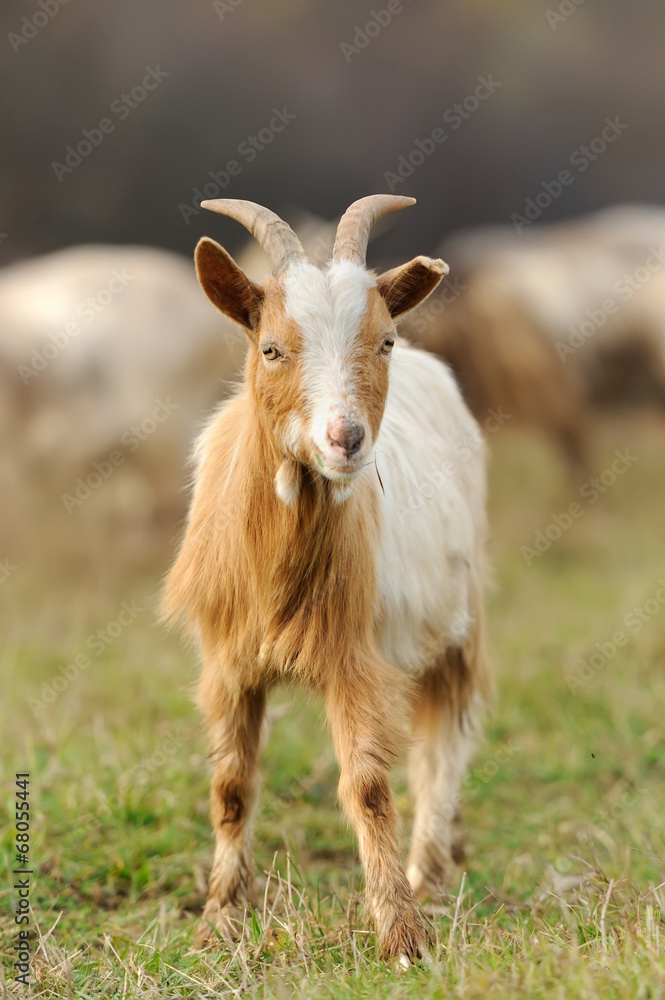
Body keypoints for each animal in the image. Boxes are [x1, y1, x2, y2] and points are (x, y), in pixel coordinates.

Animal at [163, 191, 490, 964]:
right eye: (271, 347)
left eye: (383, 342)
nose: (345, 440)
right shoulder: (228, 660)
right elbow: (231, 784)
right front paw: (220, 917)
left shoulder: (354, 658)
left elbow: (368, 786)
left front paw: (401, 936)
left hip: (457, 627)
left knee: (444, 747)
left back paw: (428, 874)